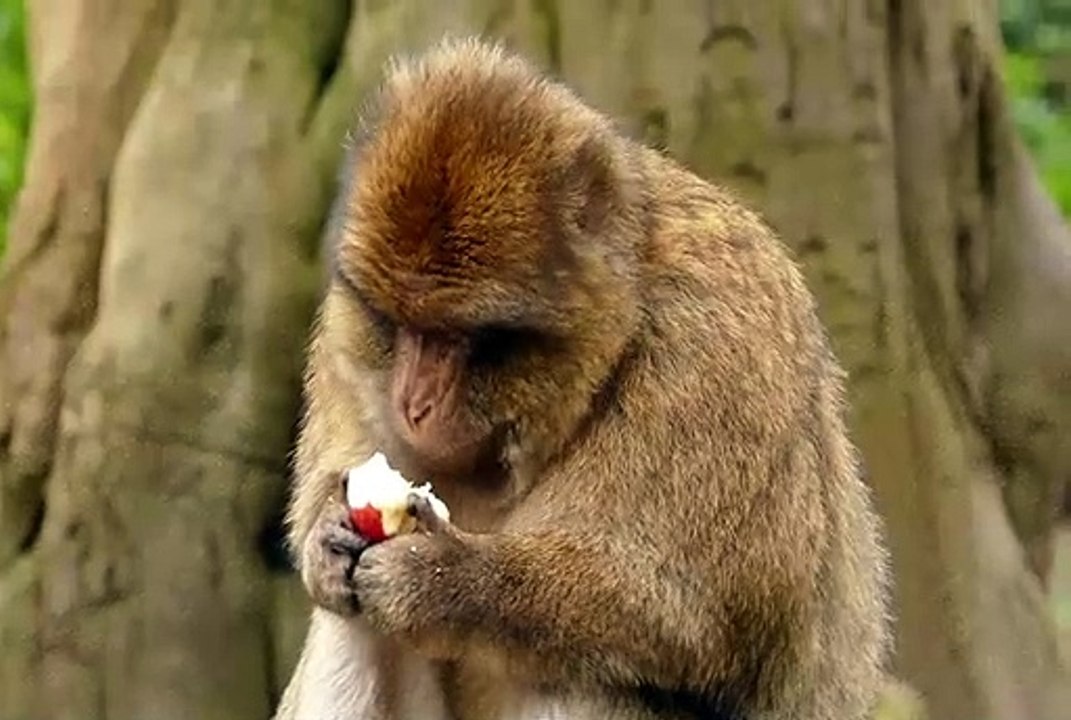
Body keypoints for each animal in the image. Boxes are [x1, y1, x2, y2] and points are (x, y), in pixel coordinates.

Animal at [274, 37, 891, 720]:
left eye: (466, 339)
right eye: (395, 324)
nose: (412, 402)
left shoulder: (717, 348)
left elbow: (691, 616)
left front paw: (445, 578)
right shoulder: (342, 352)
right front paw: (327, 538)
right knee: (350, 621)